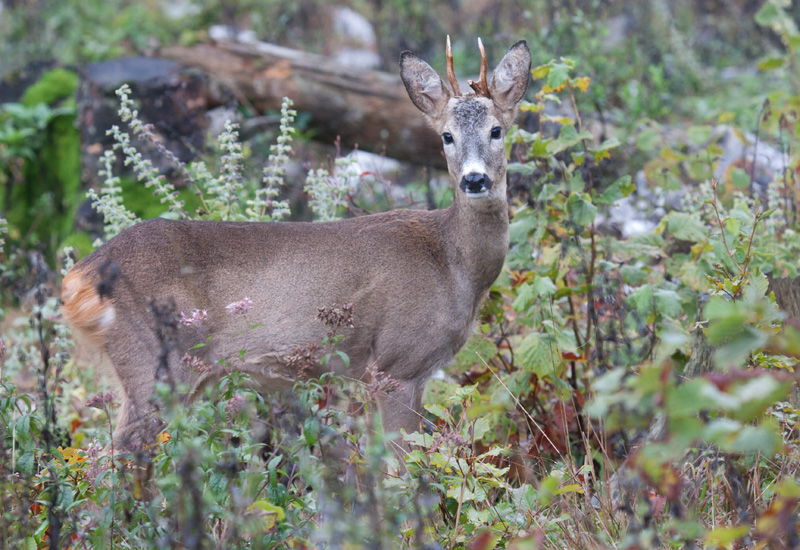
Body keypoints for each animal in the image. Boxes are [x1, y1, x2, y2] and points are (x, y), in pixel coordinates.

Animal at [61, 37, 532, 452]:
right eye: (446, 136)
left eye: (497, 130)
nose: (475, 179)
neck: (454, 264)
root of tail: (78, 278)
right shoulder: (398, 363)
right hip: (153, 360)